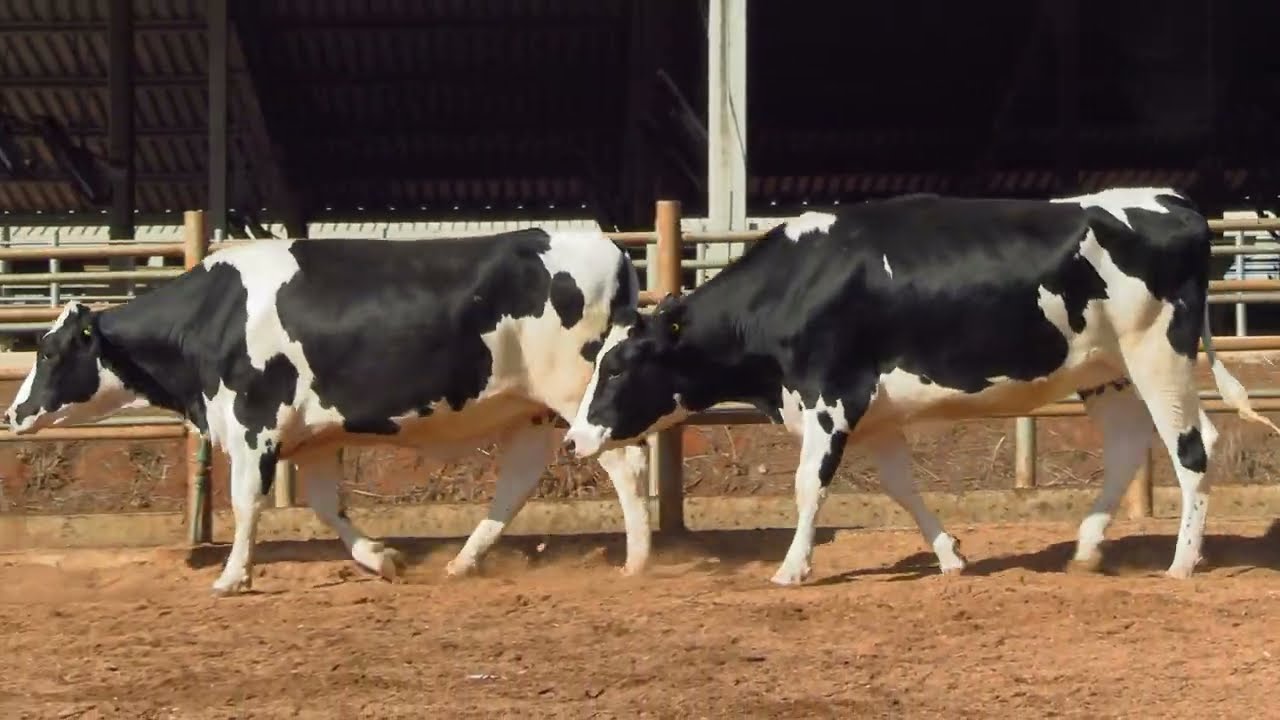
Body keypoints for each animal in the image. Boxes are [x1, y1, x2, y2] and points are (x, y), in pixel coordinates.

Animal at [5, 229, 653, 596]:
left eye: (50, 350)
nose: (14, 414)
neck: (213, 314)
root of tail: (608, 246)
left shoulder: (253, 422)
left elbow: (246, 503)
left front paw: (231, 577)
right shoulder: (312, 441)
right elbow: (325, 506)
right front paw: (381, 558)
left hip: (582, 401)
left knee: (626, 466)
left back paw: (638, 560)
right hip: (532, 411)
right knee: (515, 485)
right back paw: (462, 563)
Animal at [564, 187, 1280, 585]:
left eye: (619, 366)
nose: (574, 439)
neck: (797, 283)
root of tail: (1176, 203)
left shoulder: (830, 399)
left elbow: (808, 487)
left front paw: (792, 568)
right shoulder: (875, 415)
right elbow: (903, 490)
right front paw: (951, 555)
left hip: (1158, 354)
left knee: (1194, 447)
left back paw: (1182, 563)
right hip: (1106, 372)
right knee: (1131, 448)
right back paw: (1085, 548)